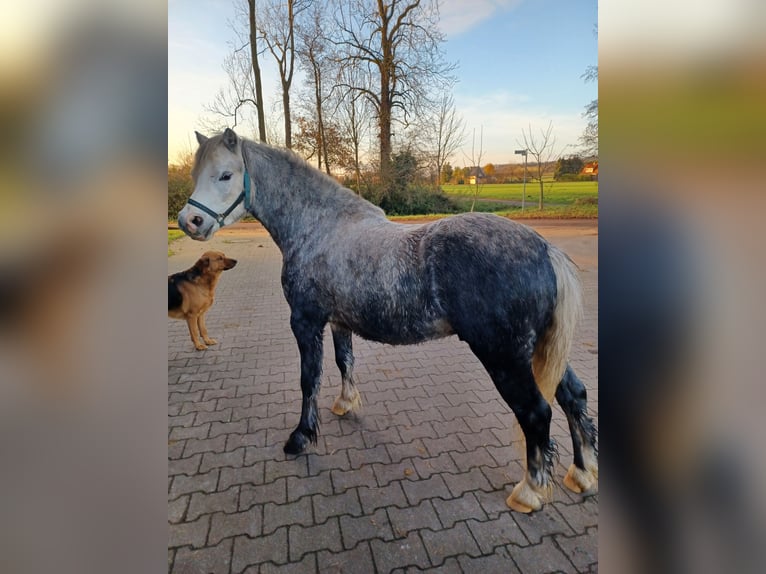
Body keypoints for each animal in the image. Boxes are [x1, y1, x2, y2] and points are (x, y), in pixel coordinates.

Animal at [178, 129, 600, 512]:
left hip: (505, 357)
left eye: (225, 175)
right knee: (573, 396)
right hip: (537, 350)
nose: (189, 221)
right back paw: (582, 475)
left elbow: (308, 379)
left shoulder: (305, 321)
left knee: (536, 412)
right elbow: (343, 362)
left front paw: (300, 438)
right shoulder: (338, 323)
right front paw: (346, 404)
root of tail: (544, 249)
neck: (320, 228)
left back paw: (529, 493)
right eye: (198, 173)